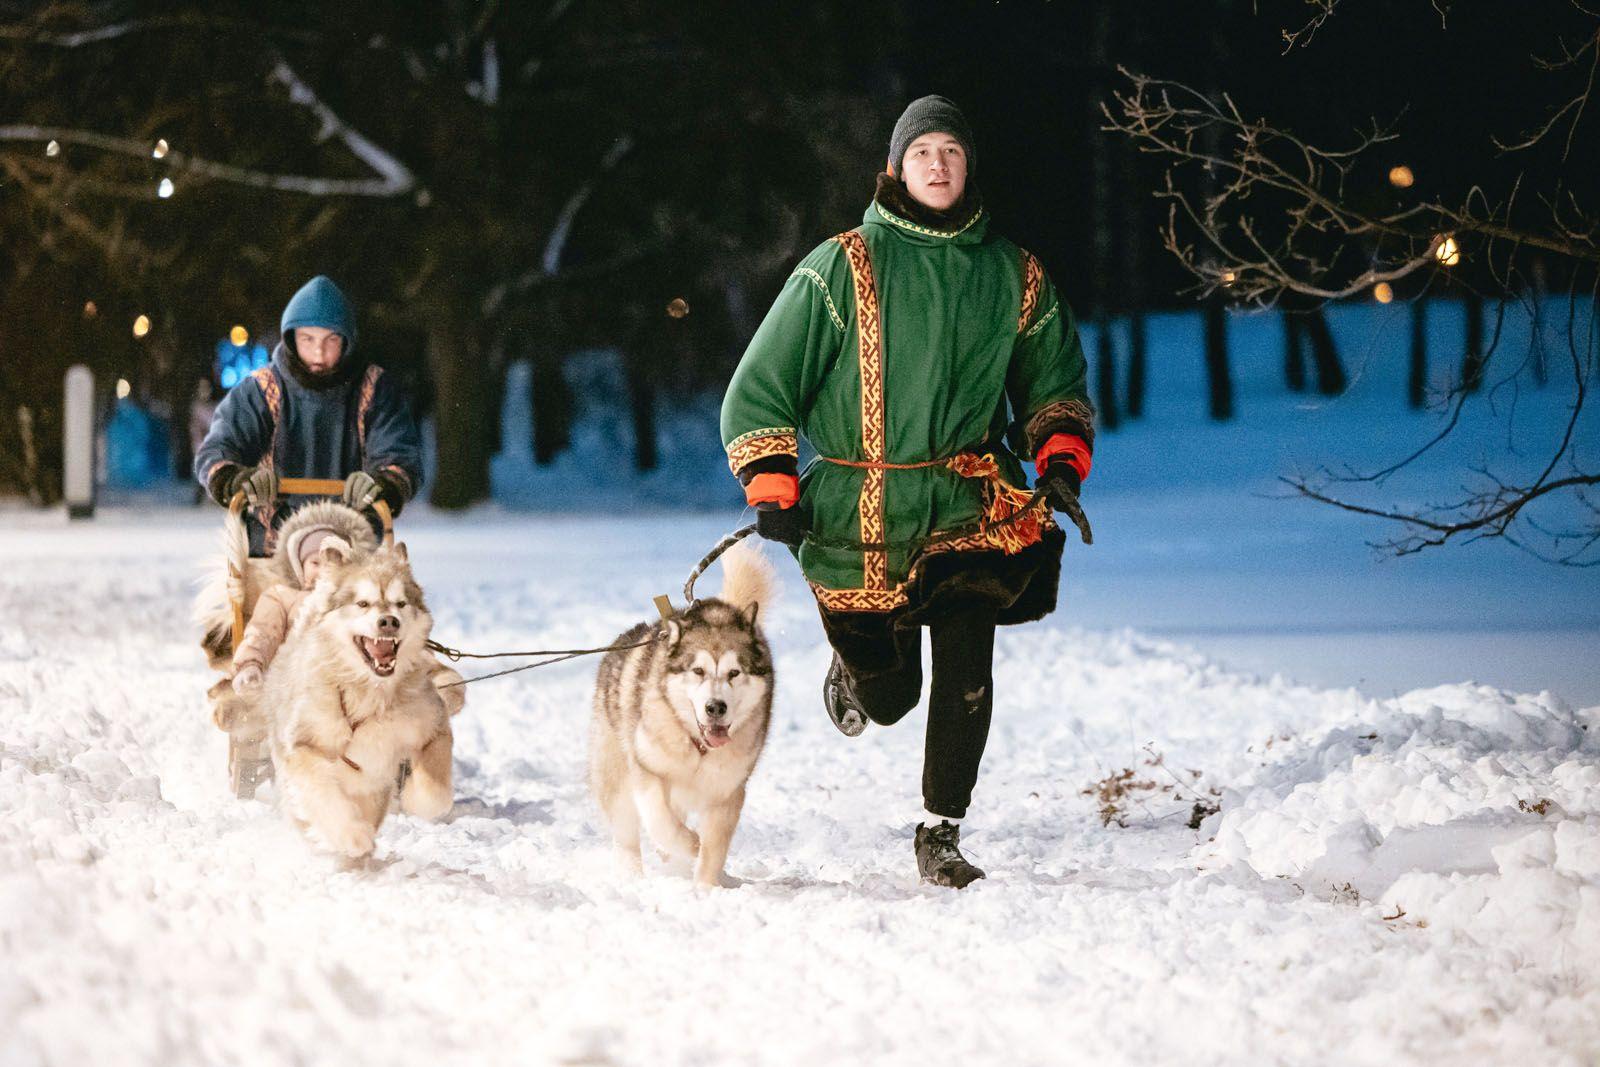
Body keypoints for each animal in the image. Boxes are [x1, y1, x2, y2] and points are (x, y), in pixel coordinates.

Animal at [260, 543, 451, 857]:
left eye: (400, 604)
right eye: (363, 603)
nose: (389, 622)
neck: (369, 690)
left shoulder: (433, 724)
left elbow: (437, 793)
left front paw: (414, 800)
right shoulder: (303, 747)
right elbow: (325, 796)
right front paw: (351, 835)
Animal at [595, 543, 780, 883]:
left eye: (734, 672)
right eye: (698, 670)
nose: (715, 707)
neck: (698, 748)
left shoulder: (728, 791)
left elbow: (714, 849)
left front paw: (705, 889)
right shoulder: (646, 769)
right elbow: (660, 820)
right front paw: (688, 844)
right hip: (614, 775)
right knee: (626, 830)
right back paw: (632, 876)